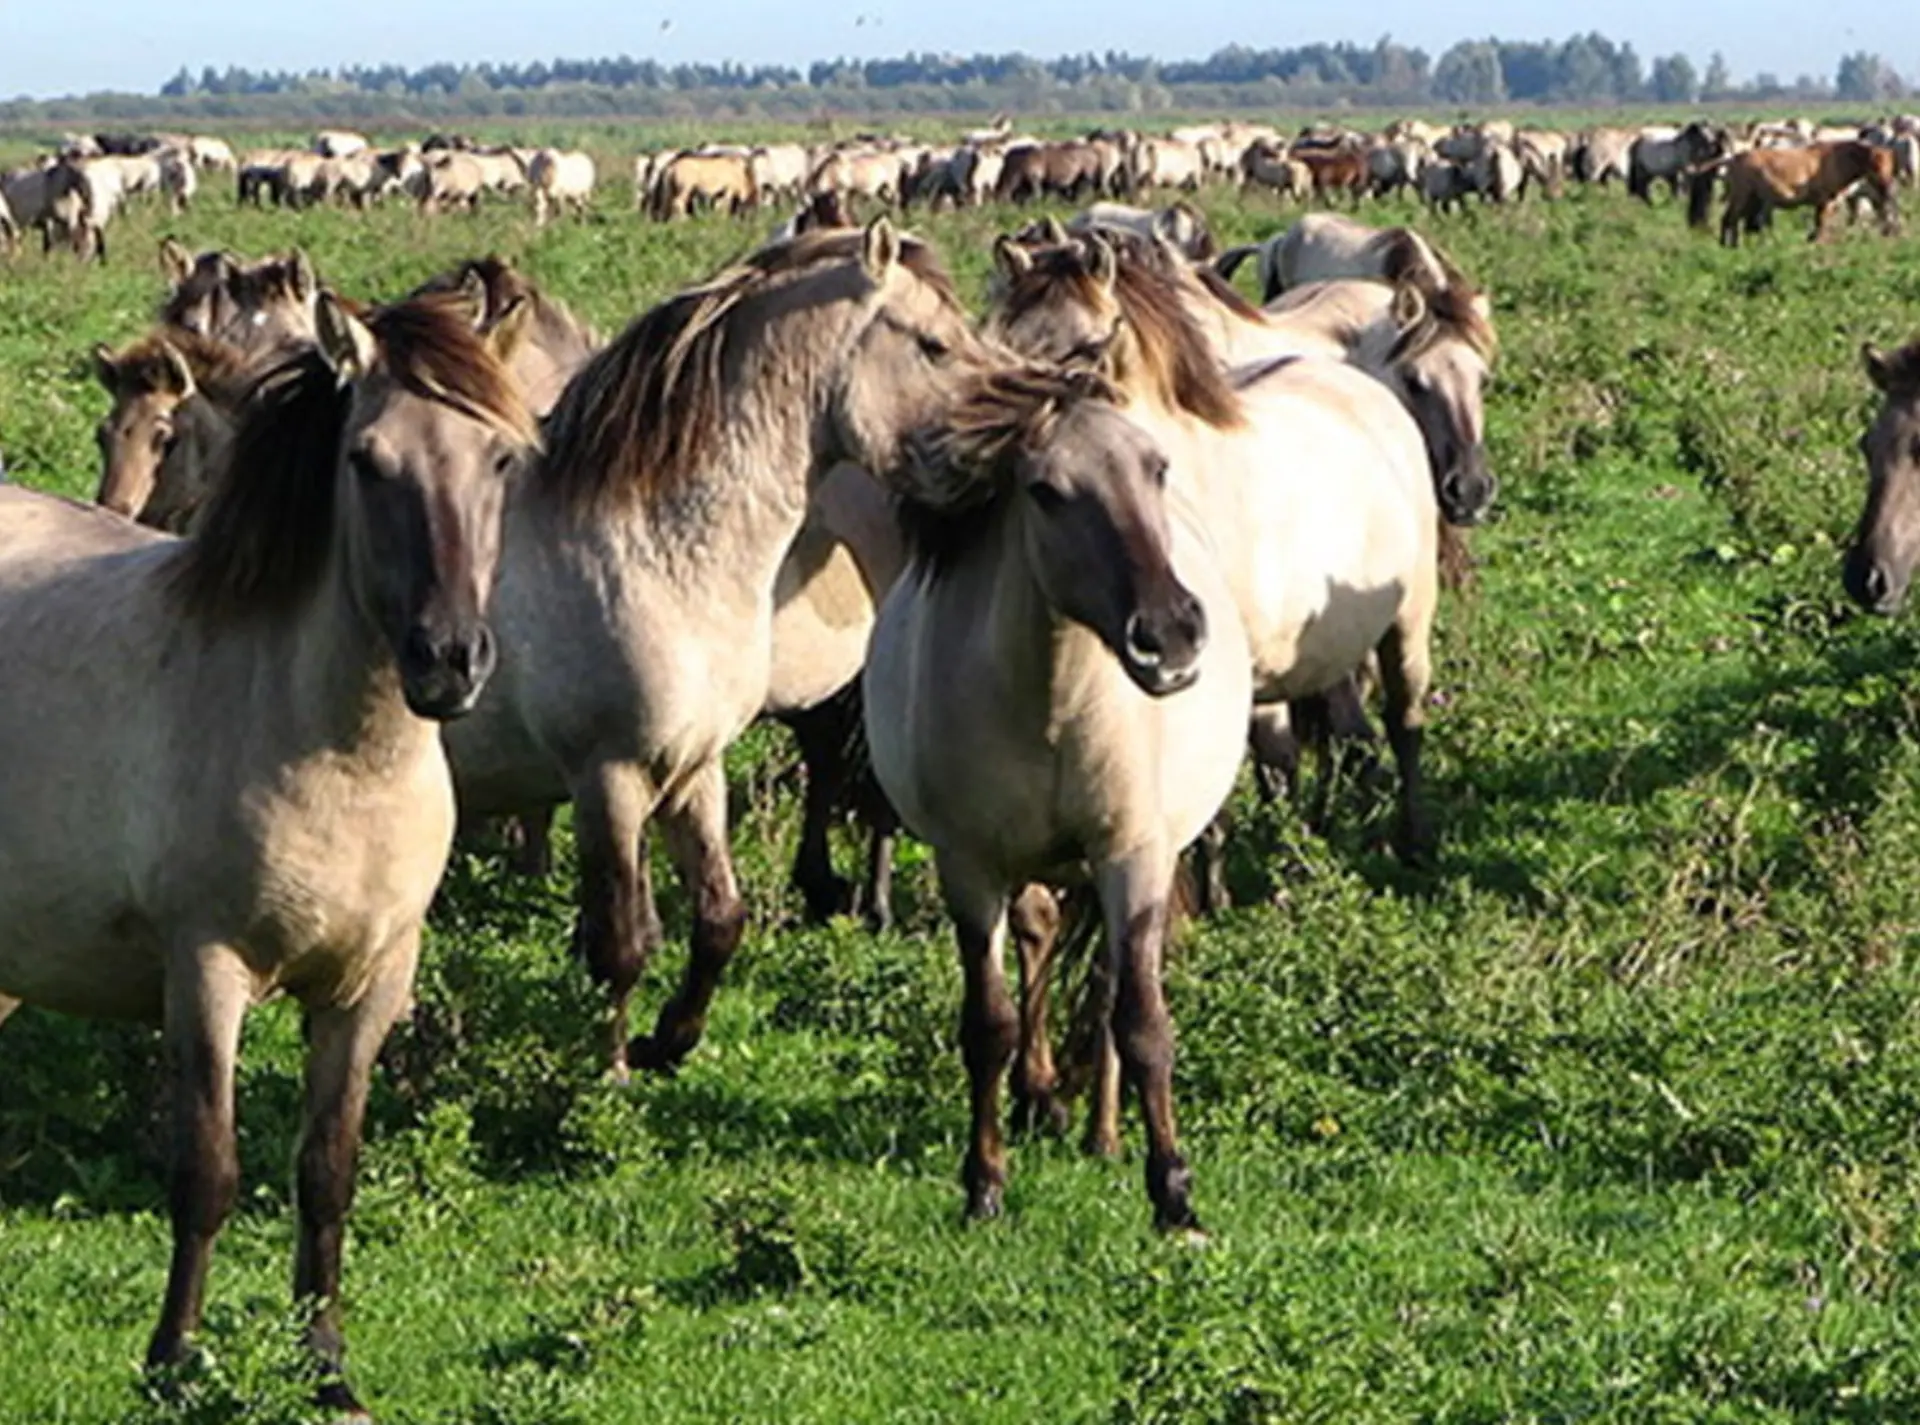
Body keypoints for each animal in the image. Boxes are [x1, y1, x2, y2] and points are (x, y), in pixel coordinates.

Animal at [0, 286, 534, 1417]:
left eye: (503, 460)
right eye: (367, 461)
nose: (449, 661)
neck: (333, 751)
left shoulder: (370, 986)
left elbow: (327, 1169)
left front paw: (327, 1368)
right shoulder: (207, 970)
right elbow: (207, 1170)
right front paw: (172, 1360)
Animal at [441, 220, 1004, 1077]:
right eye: (935, 344)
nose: (1014, 440)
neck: (647, 545)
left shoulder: (693, 769)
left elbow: (718, 919)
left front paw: (668, 1040)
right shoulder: (608, 779)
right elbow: (621, 944)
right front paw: (611, 1068)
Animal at [865, 366, 1250, 1231]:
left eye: (1156, 467)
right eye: (1045, 491)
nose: (1168, 635)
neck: (1054, 698)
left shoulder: (1131, 854)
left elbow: (1142, 1022)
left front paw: (1174, 1195)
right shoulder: (969, 867)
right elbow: (990, 1025)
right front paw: (984, 1184)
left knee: (1106, 986)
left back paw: (1103, 1133)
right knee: (1041, 937)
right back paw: (1045, 1100)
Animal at [1716, 142, 1899, 246]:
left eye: (1891, 167)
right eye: (1875, 165)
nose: (1887, 187)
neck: (1839, 159)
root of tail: (1734, 158)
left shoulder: (1825, 203)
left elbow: (1819, 223)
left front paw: (1812, 239)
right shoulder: (1825, 200)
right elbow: (1821, 223)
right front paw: (1818, 242)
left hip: (1751, 199)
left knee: (1728, 219)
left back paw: (1726, 245)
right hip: (1743, 196)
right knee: (1731, 219)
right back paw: (1733, 245)